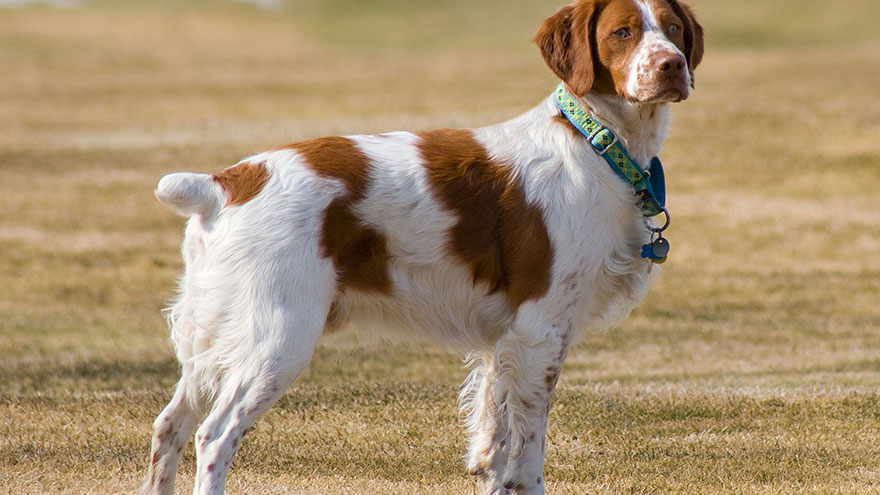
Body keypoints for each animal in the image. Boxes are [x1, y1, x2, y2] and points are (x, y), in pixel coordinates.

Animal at [146, 1, 708, 494]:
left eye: (674, 29)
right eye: (622, 32)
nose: (672, 65)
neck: (597, 146)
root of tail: (226, 182)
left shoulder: (502, 344)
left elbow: (493, 449)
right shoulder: (540, 332)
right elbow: (526, 457)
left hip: (213, 340)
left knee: (169, 427)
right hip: (278, 336)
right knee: (213, 436)